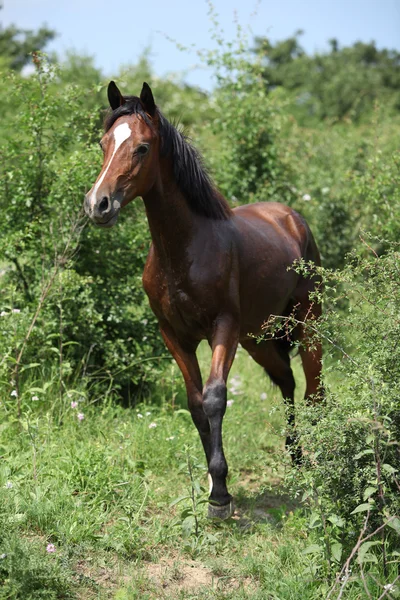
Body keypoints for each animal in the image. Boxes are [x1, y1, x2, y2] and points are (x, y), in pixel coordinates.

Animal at [83, 82, 322, 516]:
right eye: (104, 142)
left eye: (142, 147)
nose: (98, 204)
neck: (186, 249)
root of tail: (292, 218)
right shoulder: (175, 336)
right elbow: (195, 405)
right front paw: (213, 485)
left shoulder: (222, 328)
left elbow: (214, 399)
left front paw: (222, 496)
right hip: (259, 340)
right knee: (287, 382)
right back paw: (295, 458)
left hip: (308, 322)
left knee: (314, 390)